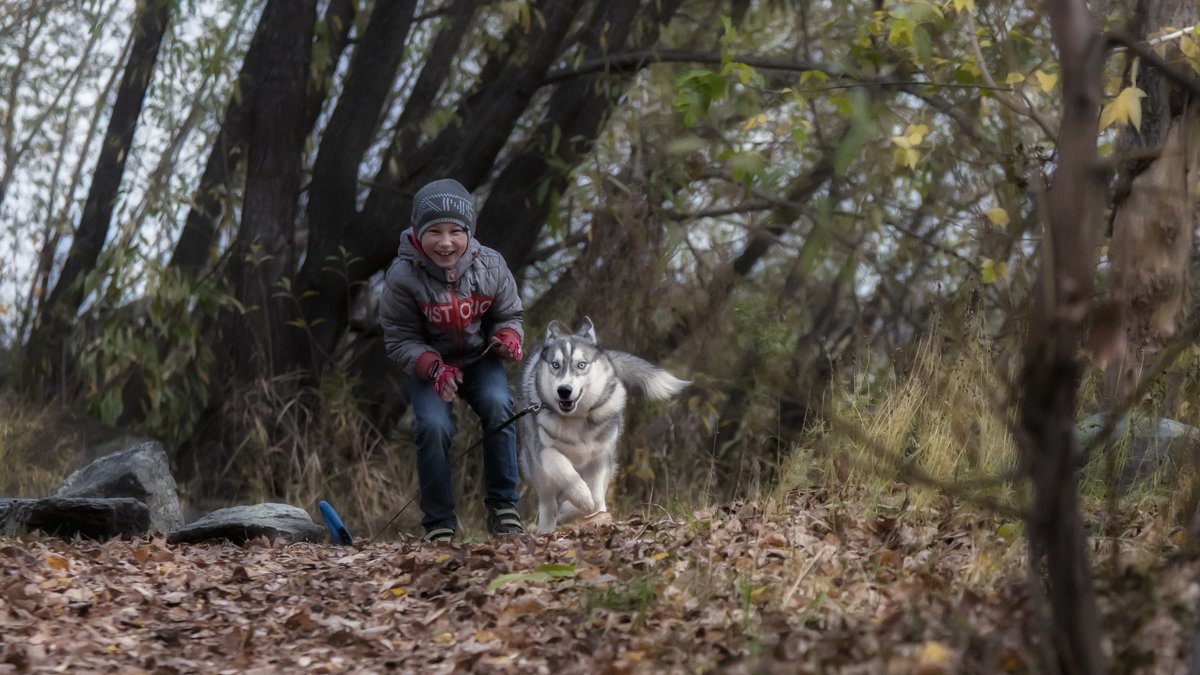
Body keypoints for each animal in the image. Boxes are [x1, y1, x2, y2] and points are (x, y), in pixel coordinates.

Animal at [518, 314, 696, 530]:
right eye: (555, 365)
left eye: (581, 364)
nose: (564, 390)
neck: (576, 419)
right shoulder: (544, 451)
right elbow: (565, 472)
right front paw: (580, 497)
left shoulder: (600, 455)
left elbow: (595, 498)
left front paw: (578, 507)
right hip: (538, 471)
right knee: (547, 501)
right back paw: (547, 525)